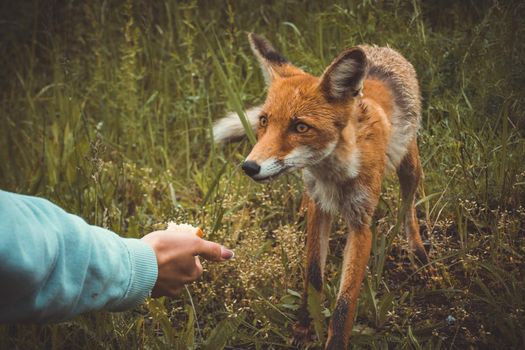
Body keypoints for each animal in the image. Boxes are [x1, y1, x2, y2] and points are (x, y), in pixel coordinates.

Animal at [213, 33, 430, 350]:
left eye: (300, 127)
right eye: (264, 121)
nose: (249, 167)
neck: (334, 175)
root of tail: (379, 49)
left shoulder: (361, 224)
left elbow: (345, 303)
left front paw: (333, 340)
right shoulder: (320, 207)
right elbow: (313, 274)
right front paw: (304, 327)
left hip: (410, 167)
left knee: (409, 207)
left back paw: (418, 253)